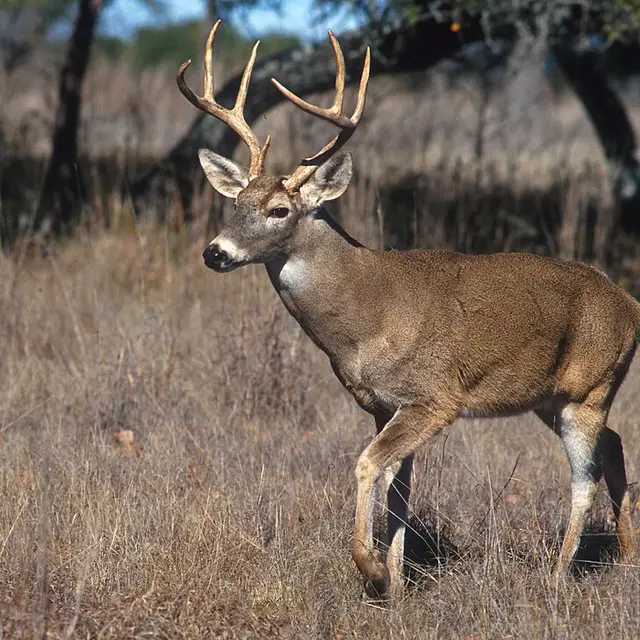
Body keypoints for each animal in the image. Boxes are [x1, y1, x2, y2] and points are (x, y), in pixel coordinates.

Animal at [178, 20, 639, 599]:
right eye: (235, 203)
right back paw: (627, 557)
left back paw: (557, 576)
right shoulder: (383, 404)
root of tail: (630, 304)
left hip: (588, 388)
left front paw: (372, 569)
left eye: (279, 209)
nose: (214, 252)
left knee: (585, 476)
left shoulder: (434, 397)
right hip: (551, 397)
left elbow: (366, 465)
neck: (365, 318)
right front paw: (396, 583)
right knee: (615, 446)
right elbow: (399, 488)